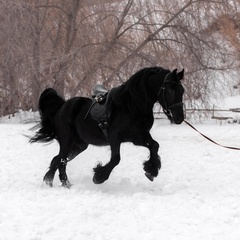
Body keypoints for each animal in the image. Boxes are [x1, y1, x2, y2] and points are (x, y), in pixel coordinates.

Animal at [31, 67, 185, 188]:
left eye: (182, 90)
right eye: (171, 90)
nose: (179, 118)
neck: (132, 106)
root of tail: (61, 108)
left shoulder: (138, 136)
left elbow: (155, 145)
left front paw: (150, 171)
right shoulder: (114, 138)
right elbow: (116, 159)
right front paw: (99, 177)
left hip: (79, 145)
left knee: (57, 160)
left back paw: (60, 184)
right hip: (67, 140)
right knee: (60, 161)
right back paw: (54, 183)